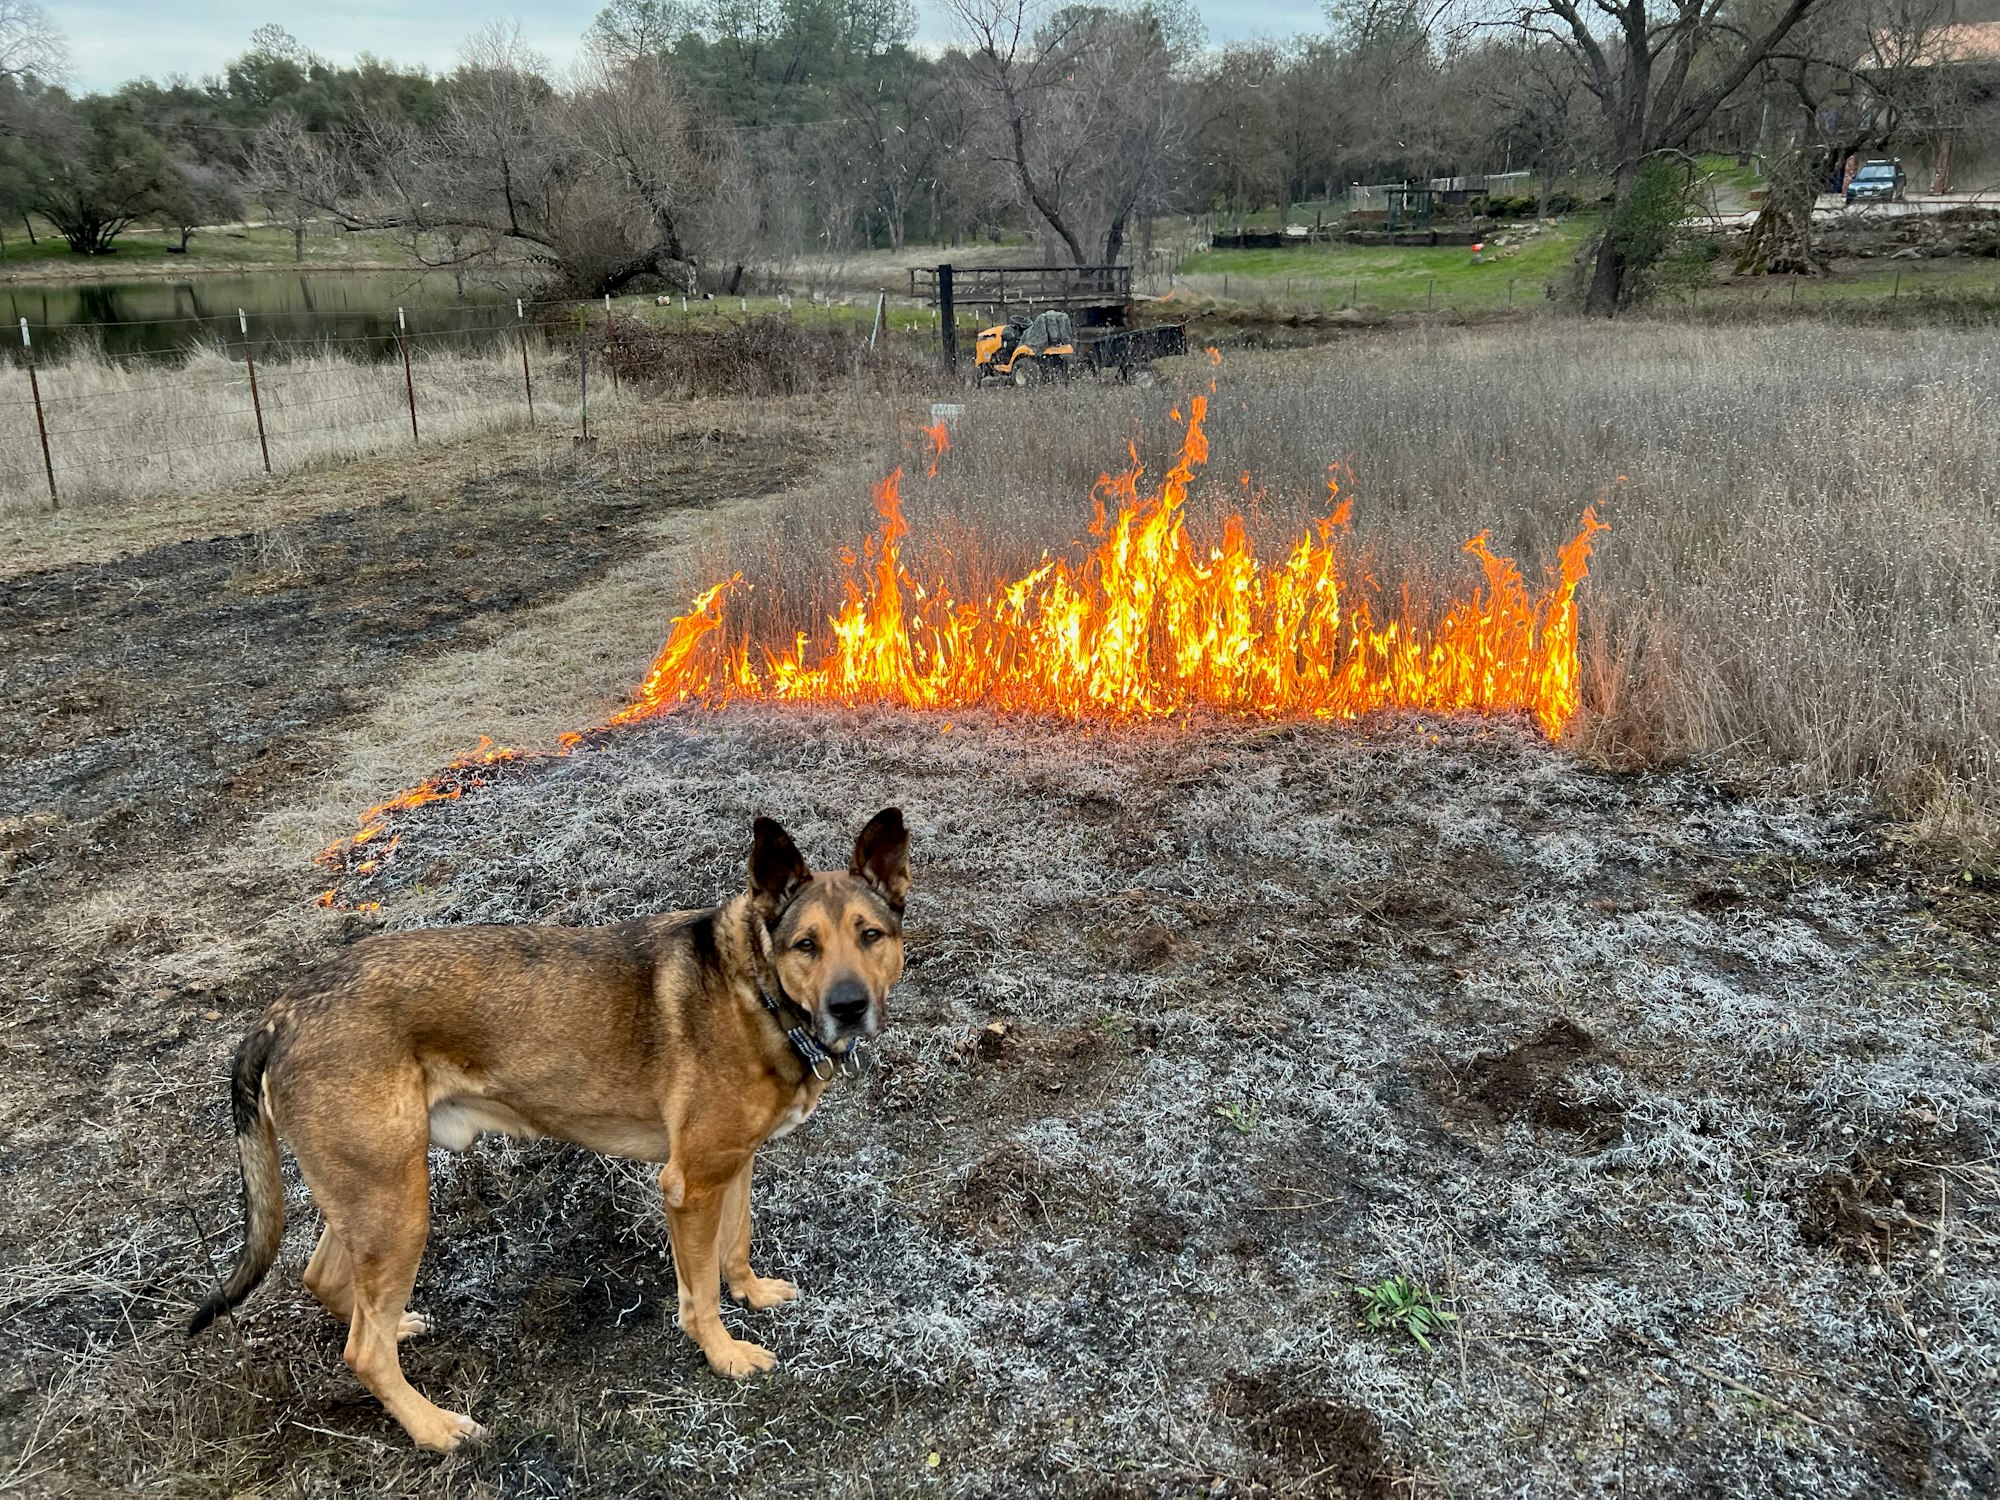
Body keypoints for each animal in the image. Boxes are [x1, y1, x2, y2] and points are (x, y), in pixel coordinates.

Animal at [188, 812, 908, 1456]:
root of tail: (280, 1015)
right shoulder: (690, 1185)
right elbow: (699, 1292)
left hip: (377, 1191)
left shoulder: (732, 1166)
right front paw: (723, 1354)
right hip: (396, 1206)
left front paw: (751, 1292)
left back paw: (400, 1334)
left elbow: (738, 1241)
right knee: (362, 1348)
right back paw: (433, 1427)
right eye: (805, 945)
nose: (849, 1007)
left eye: (870, 935)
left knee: (330, 1284)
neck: (757, 987)